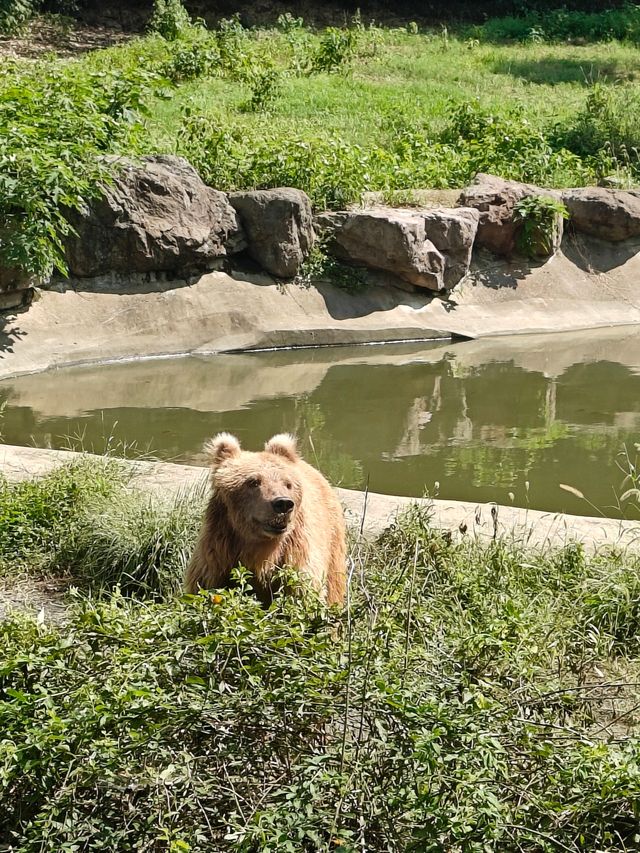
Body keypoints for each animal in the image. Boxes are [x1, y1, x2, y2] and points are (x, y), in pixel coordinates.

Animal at [185, 432, 347, 606]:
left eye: (288, 484)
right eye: (253, 482)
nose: (283, 504)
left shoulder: (295, 558)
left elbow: (302, 596)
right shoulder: (217, 556)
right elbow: (203, 589)